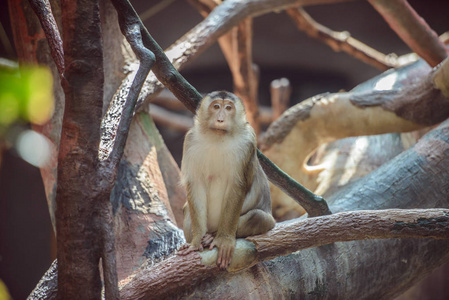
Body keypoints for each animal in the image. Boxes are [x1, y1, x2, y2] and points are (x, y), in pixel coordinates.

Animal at [177, 90, 274, 268]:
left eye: (228, 108)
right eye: (216, 107)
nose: (220, 120)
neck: (218, 138)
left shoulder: (248, 141)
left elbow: (237, 186)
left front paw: (224, 240)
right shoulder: (190, 140)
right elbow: (196, 185)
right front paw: (196, 241)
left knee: (258, 217)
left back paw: (213, 235)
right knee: (187, 208)